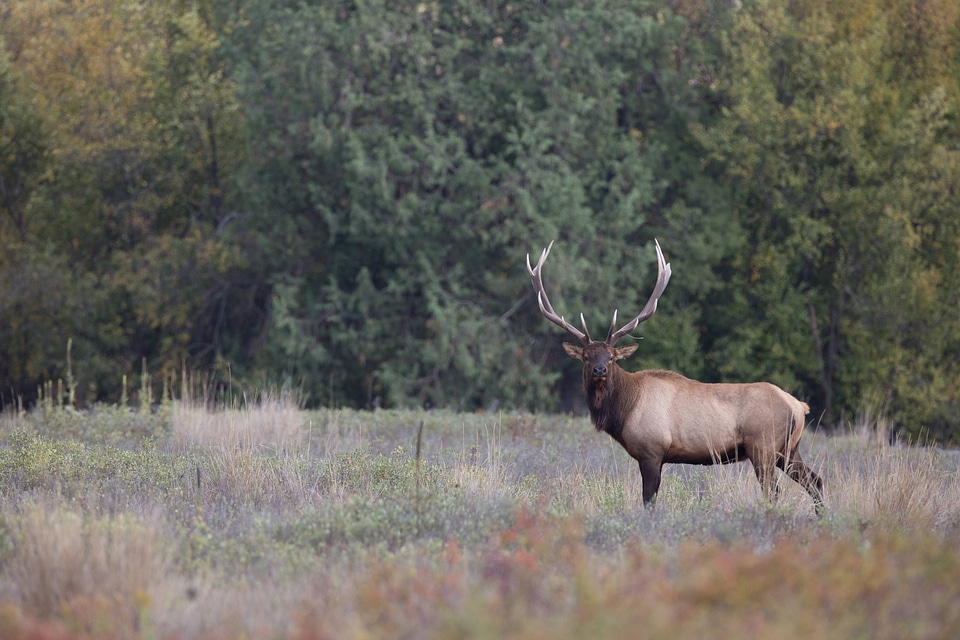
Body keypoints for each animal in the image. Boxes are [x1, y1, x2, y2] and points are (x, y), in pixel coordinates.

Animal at [524, 240, 824, 516]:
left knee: (774, 491)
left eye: (611, 357)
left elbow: (649, 501)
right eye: (587, 356)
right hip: (788, 450)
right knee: (816, 481)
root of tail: (799, 406)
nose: (599, 370)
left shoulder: (652, 450)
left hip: (763, 447)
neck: (624, 409)